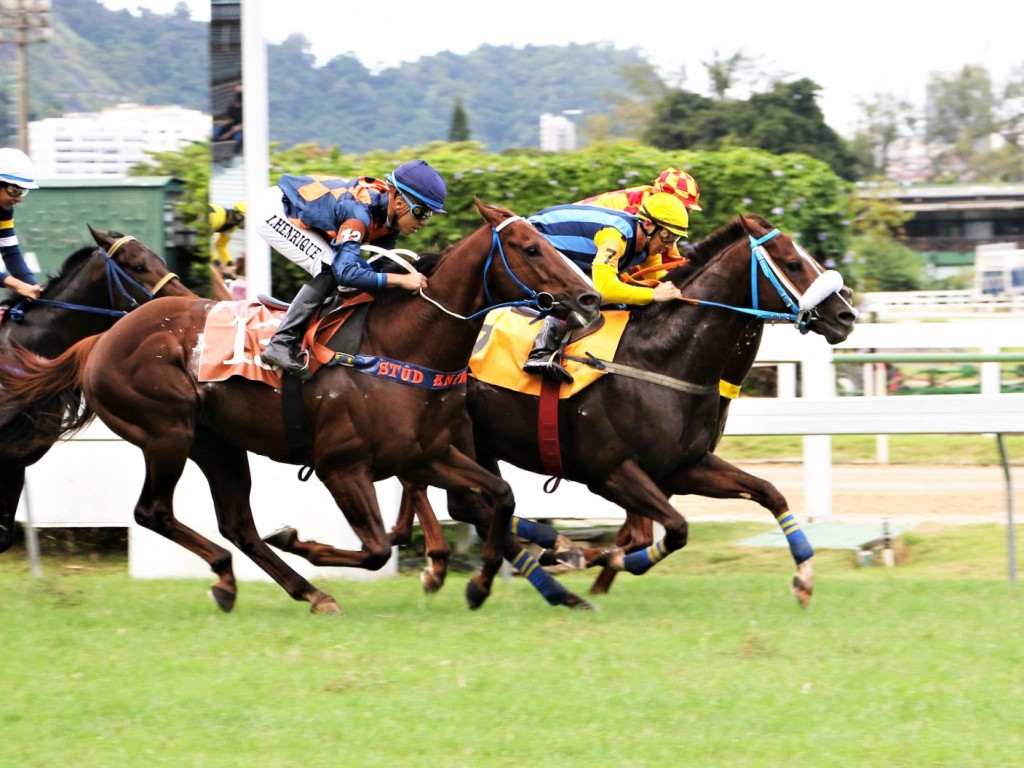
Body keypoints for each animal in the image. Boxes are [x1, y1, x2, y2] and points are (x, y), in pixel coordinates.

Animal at [382, 214, 856, 610]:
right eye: (794, 263)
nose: (846, 314)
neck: (659, 358)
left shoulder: (683, 467)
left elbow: (769, 492)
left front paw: (804, 577)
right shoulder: (609, 472)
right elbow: (672, 530)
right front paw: (604, 560)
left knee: (461, 499)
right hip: (462, 437)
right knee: (467, 503)